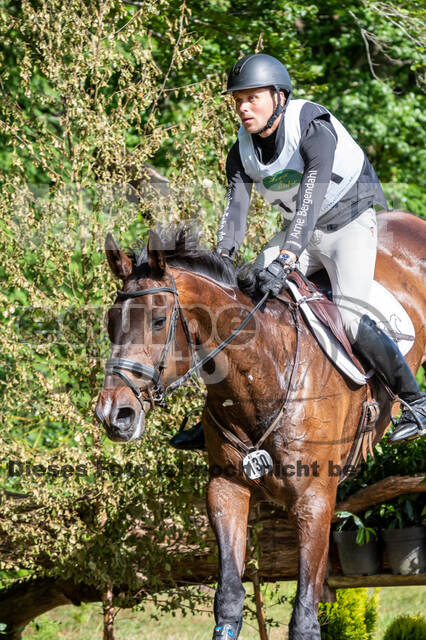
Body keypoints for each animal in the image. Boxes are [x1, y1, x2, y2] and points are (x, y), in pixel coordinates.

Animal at [95, 210, 426, 640]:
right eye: (110, 322)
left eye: (158, 320)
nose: (113, 414)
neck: (264, 373)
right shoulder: (227, 488)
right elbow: (230, 599)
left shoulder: (313, 499)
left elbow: (304, 617)